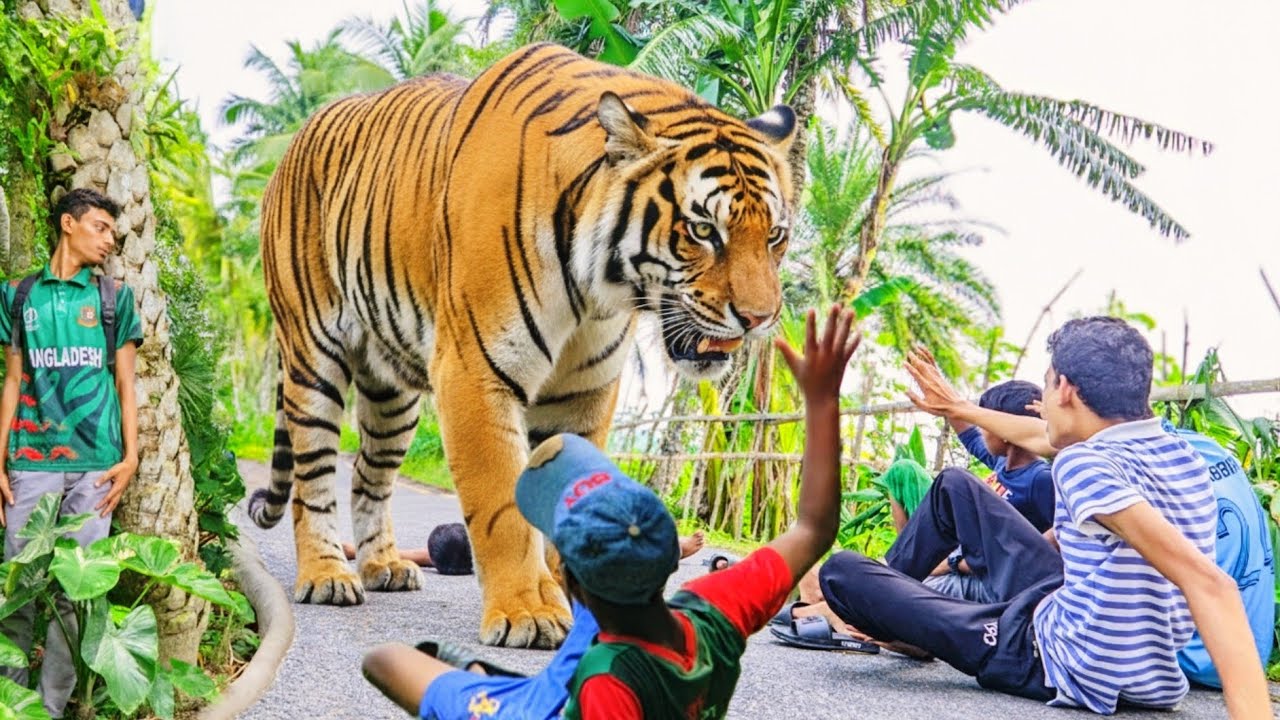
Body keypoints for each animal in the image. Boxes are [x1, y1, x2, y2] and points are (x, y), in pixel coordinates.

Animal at [249, 43, 796, 648]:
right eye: (703, 231)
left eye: (775, 235)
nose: (760, 318)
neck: (598, 287)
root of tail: (301, 131)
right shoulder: (474, 371)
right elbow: (502, 506)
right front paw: (527, 612)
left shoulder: (582, 393)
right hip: (311, 356)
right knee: (313, 477)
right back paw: (327, 575)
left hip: (391, 394)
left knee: (369, 476)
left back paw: (383, 566)